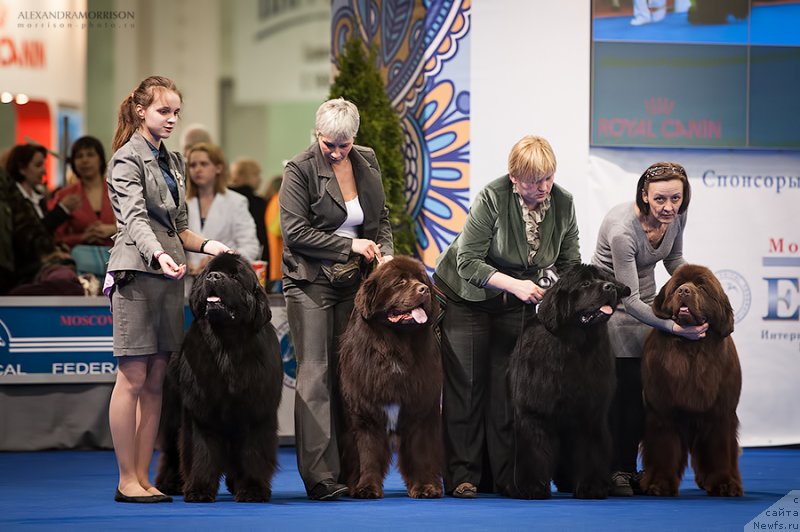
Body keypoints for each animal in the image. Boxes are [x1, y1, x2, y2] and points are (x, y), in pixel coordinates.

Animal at [155, 254, 282, 502]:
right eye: (209, 272)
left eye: (235, 276)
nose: (214, 277)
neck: (227, 345)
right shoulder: (201, 413)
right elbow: (202, 452)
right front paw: (199, 490)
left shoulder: (257, 412)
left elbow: (254, 453)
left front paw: (253, 489)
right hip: (173, 413)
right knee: (172, 452)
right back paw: (170, 484)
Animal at [338, 256, 444, 498]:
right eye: (400, 282)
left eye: (422, 279)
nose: (424, 289)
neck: (396, 347)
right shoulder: (364, 413)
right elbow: (367, 454)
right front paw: (366, 487)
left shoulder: (420, 410)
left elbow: (421, 453)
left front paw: (425, 487)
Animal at [636, 264, 744, 496]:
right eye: (677, 285)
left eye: (702, 287)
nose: (684, 291)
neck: (691, 347)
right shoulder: (662, 411)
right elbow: (664, 448)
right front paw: (659, 484)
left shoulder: (720, 412)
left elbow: (720, 449)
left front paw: (724, 484)